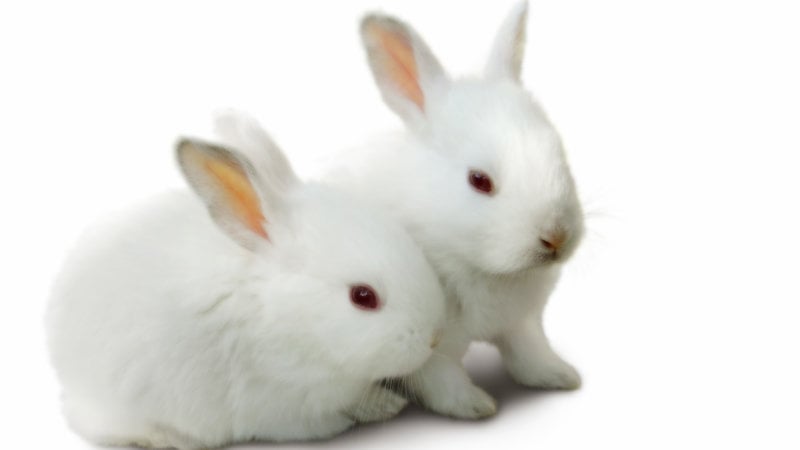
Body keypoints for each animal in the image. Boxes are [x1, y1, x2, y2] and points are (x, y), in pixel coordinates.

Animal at [45, 118, 446, 449]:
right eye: (363, 297)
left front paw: (388, 403)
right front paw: (380, 409)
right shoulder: (280, 404)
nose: (432, 339)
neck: (286, 316)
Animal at [317, 1, 585, 419]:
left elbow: (530, 355)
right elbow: (443, 381)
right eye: (479, 180)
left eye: (559, 153)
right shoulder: (430, 348)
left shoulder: (521, 323)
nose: (555, 237)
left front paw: (561, 377)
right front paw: (476, 407)